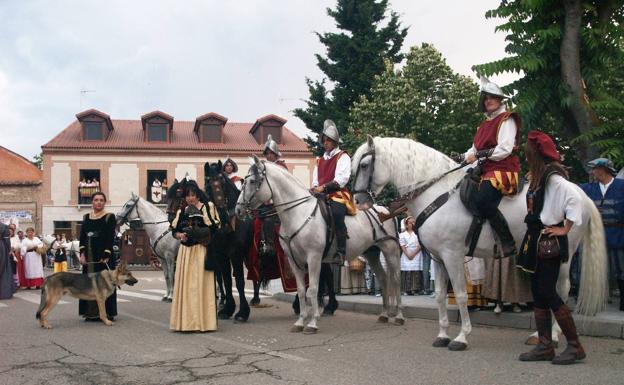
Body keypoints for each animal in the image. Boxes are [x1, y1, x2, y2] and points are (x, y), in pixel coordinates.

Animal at [235, 156, 404, 332]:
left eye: (252, 181)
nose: (238, 210)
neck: (299, 214)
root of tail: (385, 211)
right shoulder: (294, 261)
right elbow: (302, 290)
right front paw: (300, 321)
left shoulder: (314, 258)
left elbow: (313, 289)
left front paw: (312, 322)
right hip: (372, 253)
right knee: (383, 278)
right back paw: (384, 314)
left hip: (390, 251)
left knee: (396, 279)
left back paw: (398, 316)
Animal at [354, 136, 608, 350]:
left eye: (364, 165)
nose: (358, 201)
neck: (438, 194)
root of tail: (580, 193)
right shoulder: (438, 258)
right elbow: (440, 295)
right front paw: (442, 335)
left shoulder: (453, 255)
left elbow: (460, 294)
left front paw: (461, 336)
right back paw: (539, 335)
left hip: (563, 255)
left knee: (561, 289)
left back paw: (554, 335)